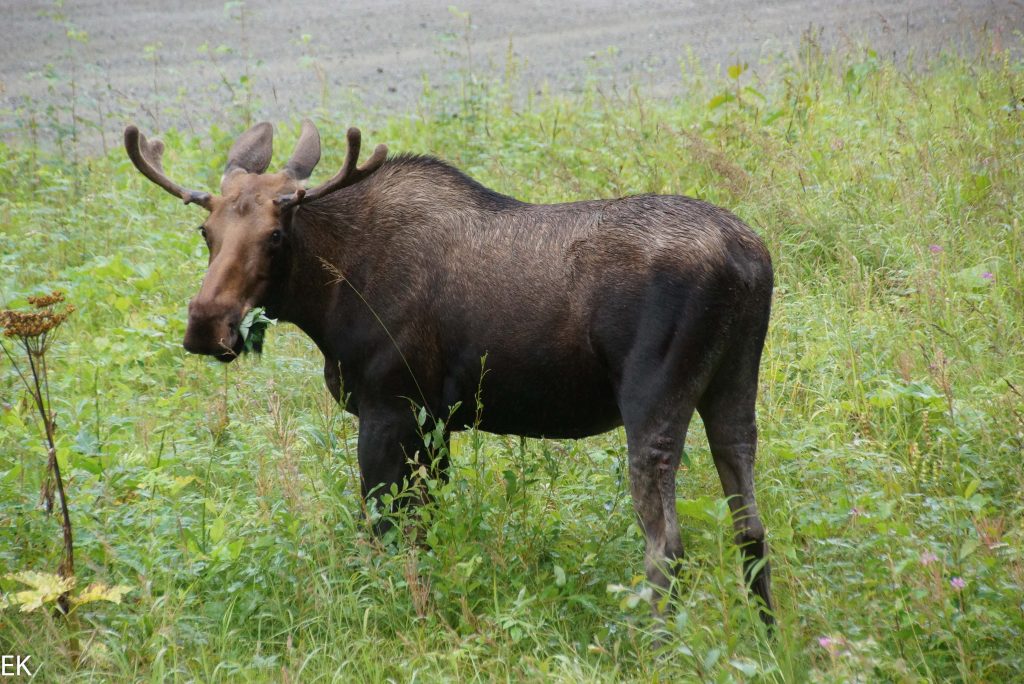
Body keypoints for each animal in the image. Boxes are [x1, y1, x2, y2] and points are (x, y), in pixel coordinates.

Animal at [123, 118, 770, 626]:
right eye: (205, 231)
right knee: (750, 525)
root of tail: (750, 262)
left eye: (277, 236)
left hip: (651, 399)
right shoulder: (435, 421)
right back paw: (765, 633)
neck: (326, 299)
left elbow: (385, 530)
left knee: (668, 546)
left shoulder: (391, 408)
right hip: (734, 387)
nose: (207, 323)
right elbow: (425, 528)